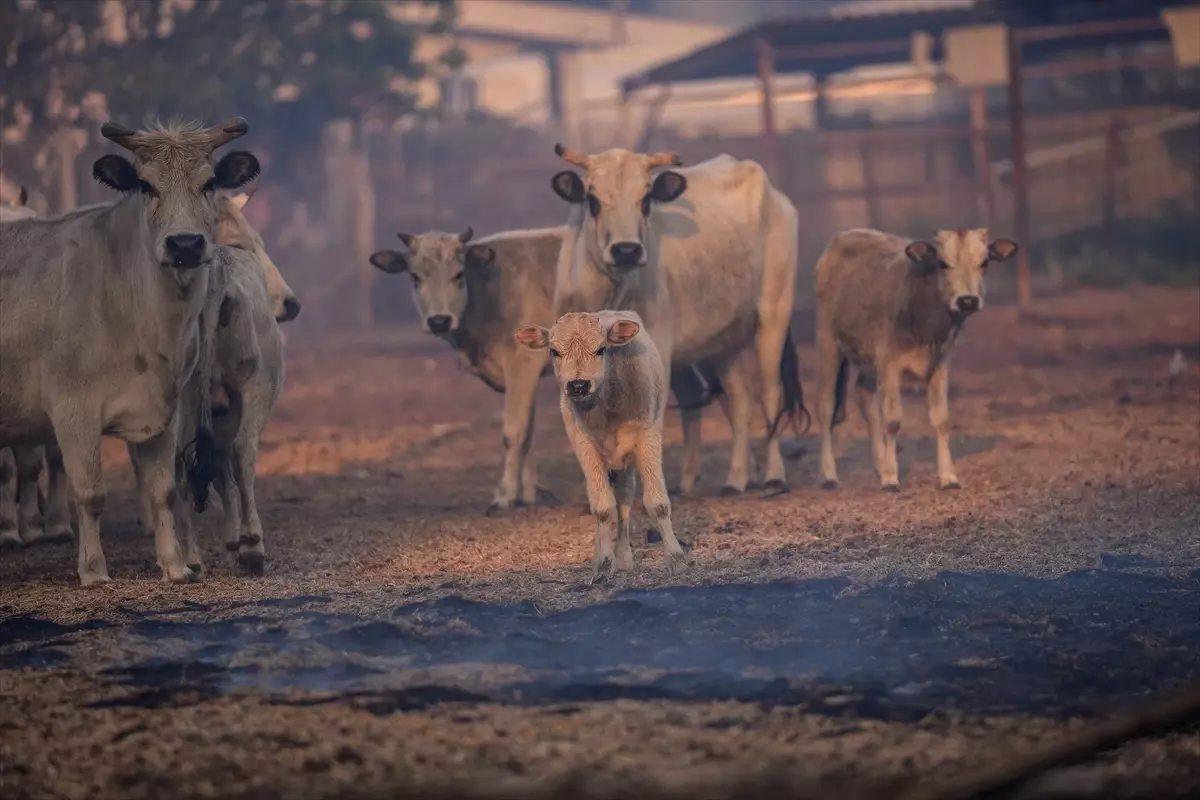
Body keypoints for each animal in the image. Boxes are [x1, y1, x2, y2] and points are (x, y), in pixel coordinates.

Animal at [0, 115, 261, 585]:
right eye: (145, 185)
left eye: (209, 182)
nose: (184, 244)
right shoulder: (73, 410)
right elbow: (89, 494)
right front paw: (93, 570)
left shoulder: (165, 411)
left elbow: (164, 490)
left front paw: (175, 565)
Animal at [367, 226, 758, 513]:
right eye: (415, 277)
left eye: (459, 274)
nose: (438, 320)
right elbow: (527, 432)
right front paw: (527, 493)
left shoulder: (521, 366)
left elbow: (513, 432)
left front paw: (504, 496)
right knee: (697, 401)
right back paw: (691, 480)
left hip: (720, 349)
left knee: (741, 401)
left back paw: (739, 478)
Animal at [513, 309, 686, 582]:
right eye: (554, 351)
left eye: (601, 349)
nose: (578, 385)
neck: (607, 407)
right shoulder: (584, 446)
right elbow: (602, 507)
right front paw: (603, 564)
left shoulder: (648, 437)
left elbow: (657, 502)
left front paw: (676, 559)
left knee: (625, 499)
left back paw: (624, 557)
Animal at [549, 143, 806, 494]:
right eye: (593, 199)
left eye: (646, 200)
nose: (627, 250)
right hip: (720, 344)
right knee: (740, 397)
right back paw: (736, 478)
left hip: (773, 317)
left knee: (769, 392)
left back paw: (774, 475)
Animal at [811, 225, 1017, 489]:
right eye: (942, 263)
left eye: (984, 262)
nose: (968, 300)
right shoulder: (888, 362)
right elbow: (892, 419)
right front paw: (891, 478)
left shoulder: (940, 362)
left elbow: (941, 419)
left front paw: (948, 476)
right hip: (828, 342)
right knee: (825, 406)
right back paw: (829, 474)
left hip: (868, 359)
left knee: (865, 396)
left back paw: (879, 463)